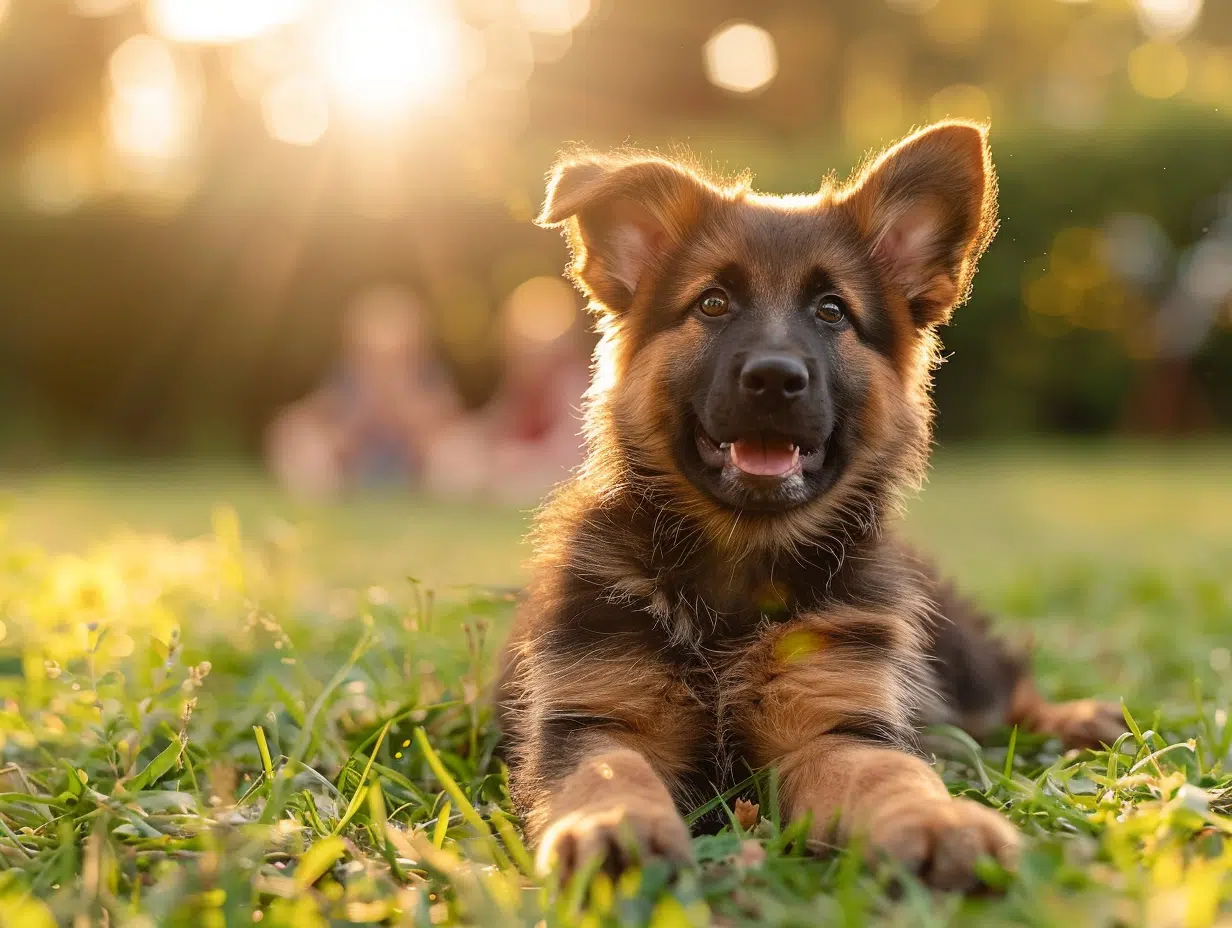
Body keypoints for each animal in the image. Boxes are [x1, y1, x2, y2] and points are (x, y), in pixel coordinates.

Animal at [492, 123, 1128, 892]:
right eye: (712, 304)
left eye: (832, 312)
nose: (774, 379)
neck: (737, 568)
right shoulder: (594, 719)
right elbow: (609, 771)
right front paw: (615, 825)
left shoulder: (834, 725)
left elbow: (893, 774)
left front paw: (940, 822)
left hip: (953, 645)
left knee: (1005, 692)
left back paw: (1080, 719)